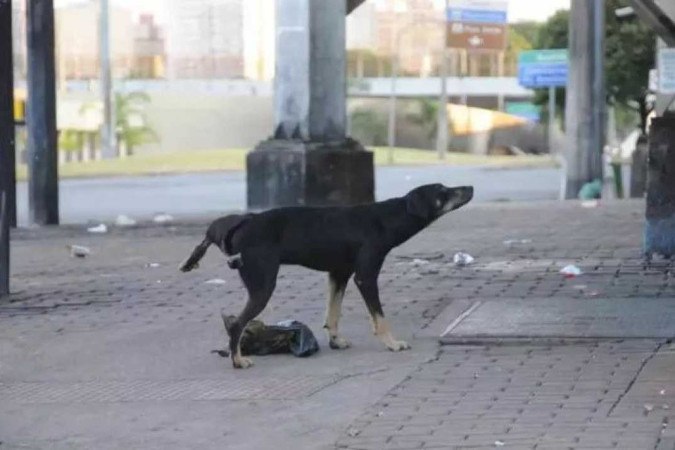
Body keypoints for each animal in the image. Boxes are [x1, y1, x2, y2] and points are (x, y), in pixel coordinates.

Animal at [182, 184, 472, 370]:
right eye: (443, 192)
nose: (469, 188)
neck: (388, 218)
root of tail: (243, 222)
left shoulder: (339, 274)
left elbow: (333, 313)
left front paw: (335, 340)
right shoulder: (365, 277)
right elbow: (379, 318)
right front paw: (392, 343)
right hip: (262, 286)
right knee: (236, 325)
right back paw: (238, 360)